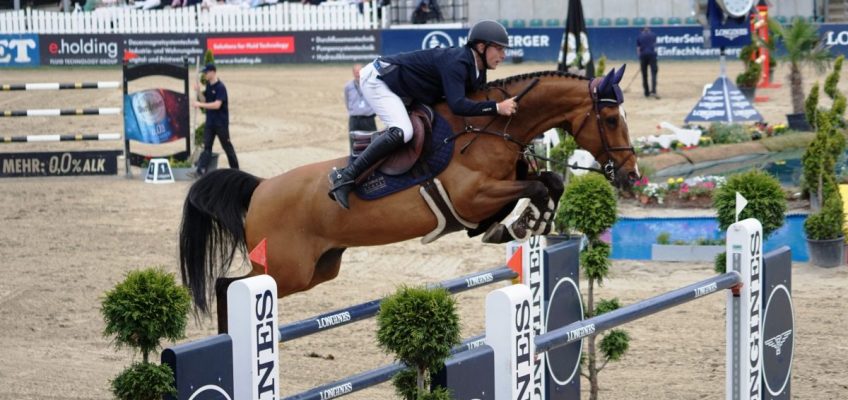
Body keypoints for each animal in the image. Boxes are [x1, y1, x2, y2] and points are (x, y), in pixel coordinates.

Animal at [182, 65, 640, 330]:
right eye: (610, 118)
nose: (631, 173)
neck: (489, 129)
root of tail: (260, 188)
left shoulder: (497, 191)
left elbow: (550, 182)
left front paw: (532, 223)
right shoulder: (472, 198)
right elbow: (537, 187)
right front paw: (522, 224)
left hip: (317, 269)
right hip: (283, 269)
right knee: (228, 286)